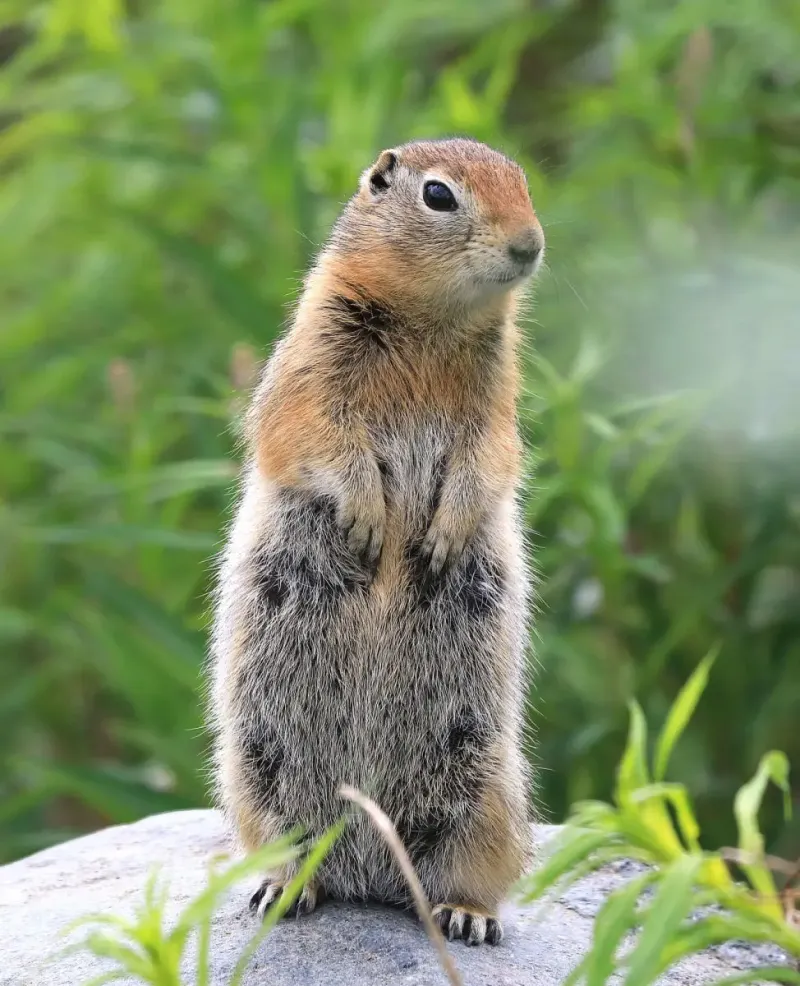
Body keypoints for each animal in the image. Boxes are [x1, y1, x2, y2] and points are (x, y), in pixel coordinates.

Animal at [209, 137, 544, 947]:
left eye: (524, 182)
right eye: (438, 195)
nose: (530, 244)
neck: (432, 320)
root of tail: (368, 873)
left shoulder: (498, 399)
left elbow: (491, 458)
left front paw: (444, 531)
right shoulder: (311, 356)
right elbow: (315, 433)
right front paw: (365, 516)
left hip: (487, 787)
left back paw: (467, 914)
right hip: (255, 770)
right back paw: (285, 887)